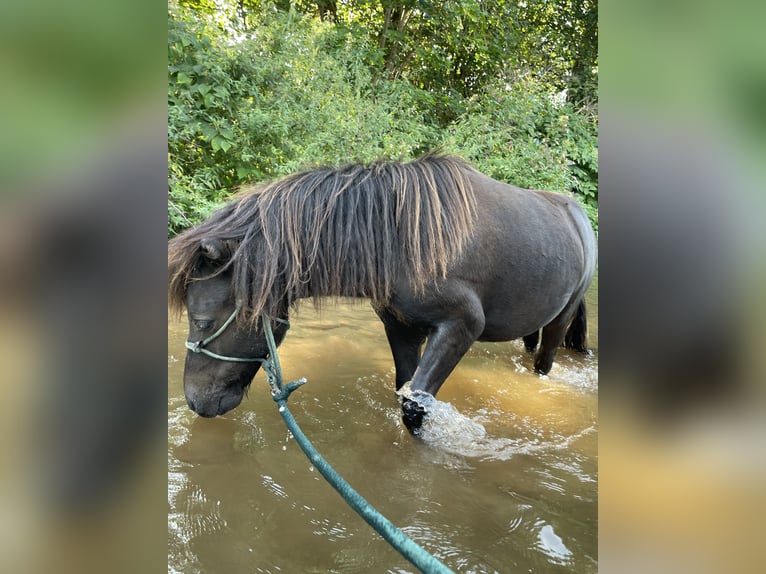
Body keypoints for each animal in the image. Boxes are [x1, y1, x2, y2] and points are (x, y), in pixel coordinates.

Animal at [170, 153, 600, 432]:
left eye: (201, 320)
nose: (194, 401)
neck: (400, 239)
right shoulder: (401, 328)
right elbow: (401, 391)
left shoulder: (461, 327)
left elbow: (414, 409)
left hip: (559, 321)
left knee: (544, 361)